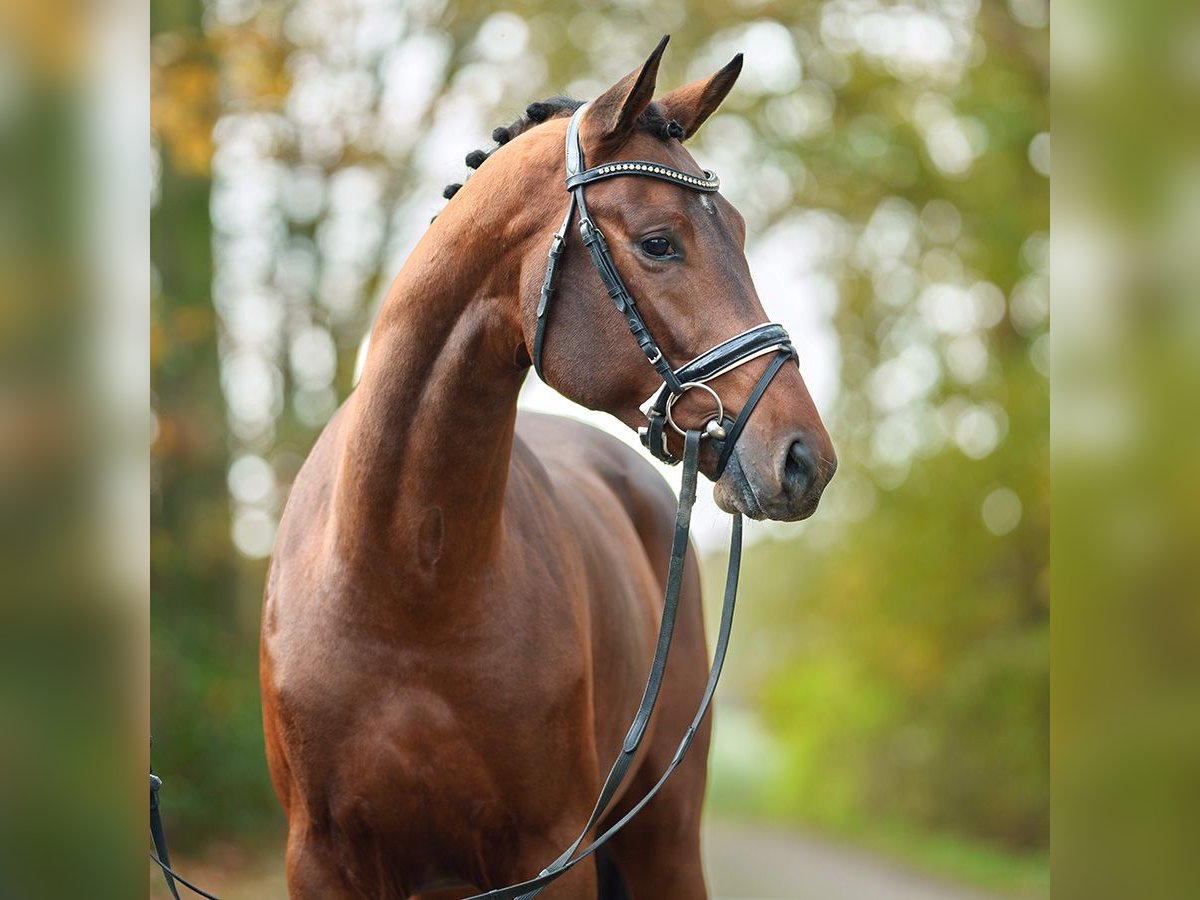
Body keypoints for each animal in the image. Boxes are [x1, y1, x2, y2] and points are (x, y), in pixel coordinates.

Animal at [265, 37, 835, 900]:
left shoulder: (551, 854)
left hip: (666, 838)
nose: (806, 459)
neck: (404, 585)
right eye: (660, 241)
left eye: (735, 228)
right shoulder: (320, 864)